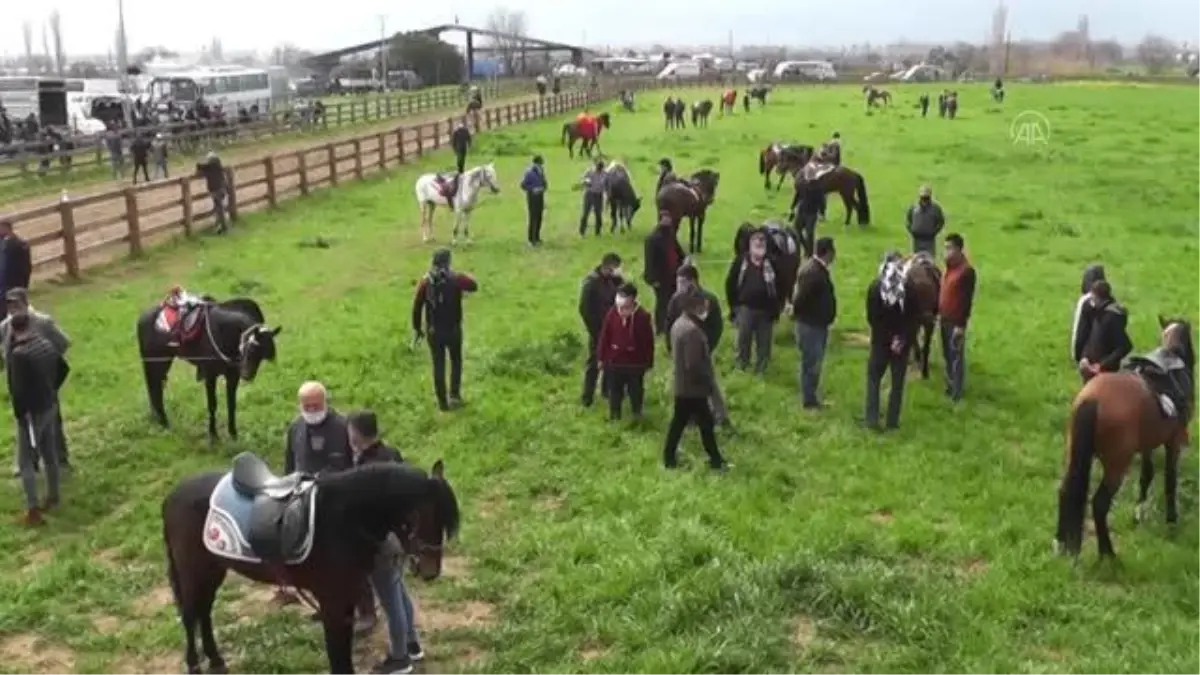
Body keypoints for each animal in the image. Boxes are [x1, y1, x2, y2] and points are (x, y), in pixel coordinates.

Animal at [137, 295, 282, 441]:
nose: (247, 375)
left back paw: (161, 421)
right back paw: (163, 422)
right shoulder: (210, 376)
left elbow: (231, 404)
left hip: (163, 360)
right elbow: (212, 405)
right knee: (155, 388)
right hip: (156, 361)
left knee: (156, 388)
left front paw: (233, 434)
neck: (224, 333)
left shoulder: (232, 377)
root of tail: (142, 318)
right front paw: (213, 435)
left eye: (263, 355)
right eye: (251, 348)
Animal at [160, 451, 458, 672]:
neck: (342, 519)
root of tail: (173, 496)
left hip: (213, 568)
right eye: (421, 516)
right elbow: (338, 656)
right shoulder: (332, 601)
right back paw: (194, 665)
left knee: (204, 611)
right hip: (193, 569)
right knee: (190, 613)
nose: (431, 571)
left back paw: (216, 661)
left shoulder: (345, 599)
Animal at [1056, 314, 1195, 557]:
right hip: (1116, 464)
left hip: (1075, 455)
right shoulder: (1173, 442)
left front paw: (1139, 513)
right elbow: (1170, 480)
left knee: (1066, 490)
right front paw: (1171, 520)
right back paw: (1108, 554)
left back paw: (1062, 544)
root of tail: (1093, 398)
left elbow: (1146, 476)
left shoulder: (1148, 444)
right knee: (1099, 504)